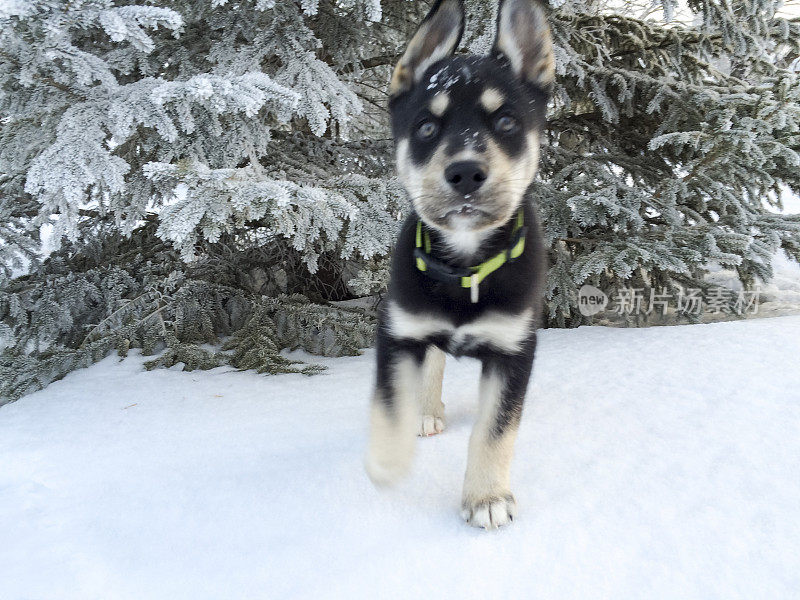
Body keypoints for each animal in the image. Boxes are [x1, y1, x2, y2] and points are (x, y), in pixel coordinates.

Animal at [366, 0, 552, 528]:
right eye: (427, 128)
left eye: (507, 122)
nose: (466, 172)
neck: (467, 267)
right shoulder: (398, 330)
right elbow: (390, 402)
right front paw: (387, 461)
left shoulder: (514, 349)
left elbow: (496, 430)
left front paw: (487, 498)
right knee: (430, 362)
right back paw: (425, 412)